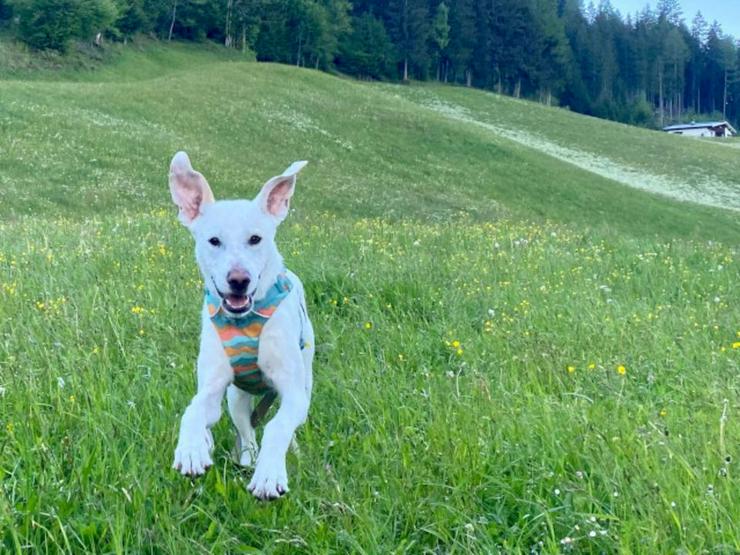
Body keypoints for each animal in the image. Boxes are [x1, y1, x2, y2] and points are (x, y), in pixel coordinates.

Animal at [169, 151, 314, 500]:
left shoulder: (293, 392)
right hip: (237, 396)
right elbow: (194, 410)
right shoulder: (212, 386)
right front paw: (192, 448)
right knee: (245, 428)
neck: (245, 320)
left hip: (306, 379)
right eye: (214, 240)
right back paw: (246, 458)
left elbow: (278, 426)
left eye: (255, 238)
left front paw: (270, 474)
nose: (239, 280)